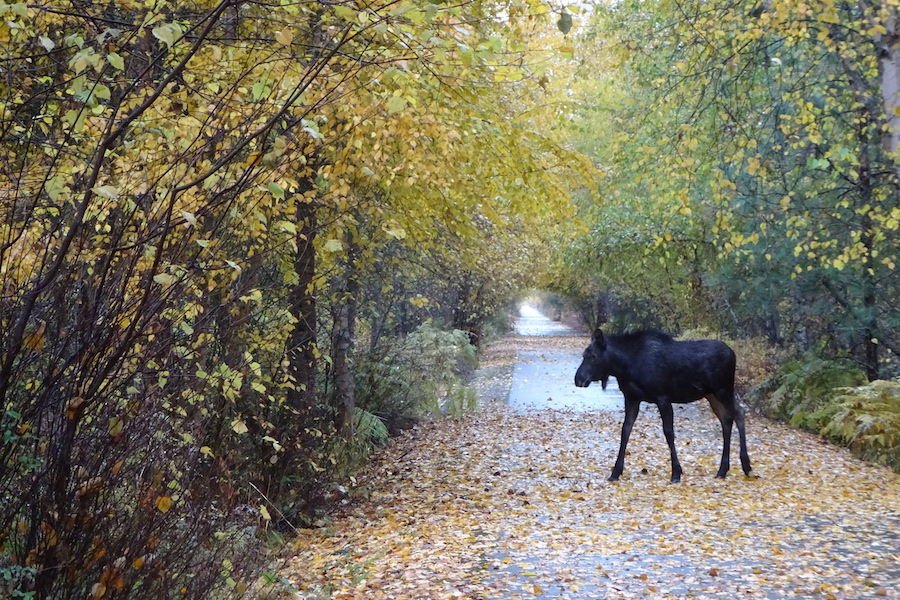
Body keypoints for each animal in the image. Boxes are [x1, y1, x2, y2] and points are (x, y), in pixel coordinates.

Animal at [576, 328, 752, 482]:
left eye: (592, 356)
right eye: (584, 355)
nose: (578, 379)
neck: (624, 367)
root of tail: (733, 354)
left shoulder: (663, 398)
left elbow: (668, 432)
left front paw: (676, 472)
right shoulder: (632, 398)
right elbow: (625, 430)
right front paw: (615, 472)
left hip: (723, 390)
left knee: (738, 413)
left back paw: (746, 465)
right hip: (712, 395)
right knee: (727, 419)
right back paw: (723, 470)